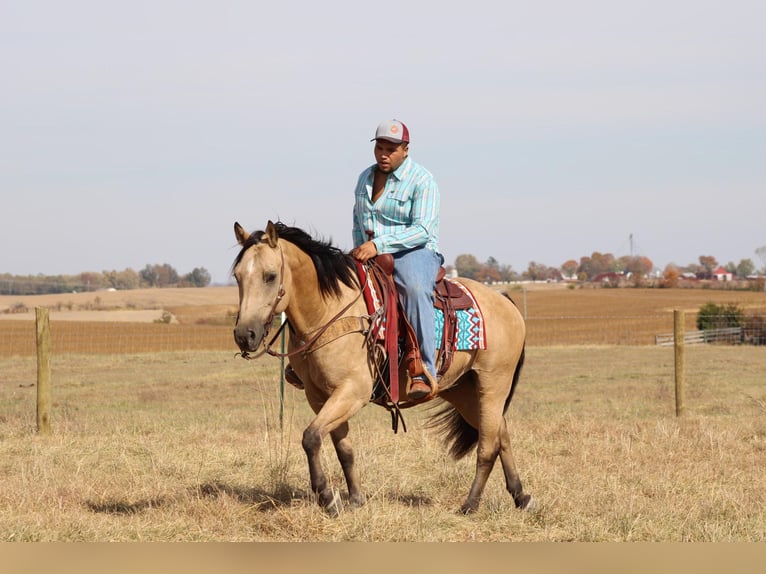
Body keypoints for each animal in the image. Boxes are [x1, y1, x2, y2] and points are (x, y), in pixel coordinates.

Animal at [234, 222, 536, 516]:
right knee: (500, 434)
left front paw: (327, 498)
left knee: (488, 445)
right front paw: (356, 499)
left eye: (270, 275)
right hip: (463, 390)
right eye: (237, 276)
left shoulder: (352, 392)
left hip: (493, 384)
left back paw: (470, 505)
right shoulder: (320, 396)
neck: (330, 312)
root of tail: (505, 301)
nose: (244, 335)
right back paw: (521, 497)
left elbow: (311, 437)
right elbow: (343, 448)